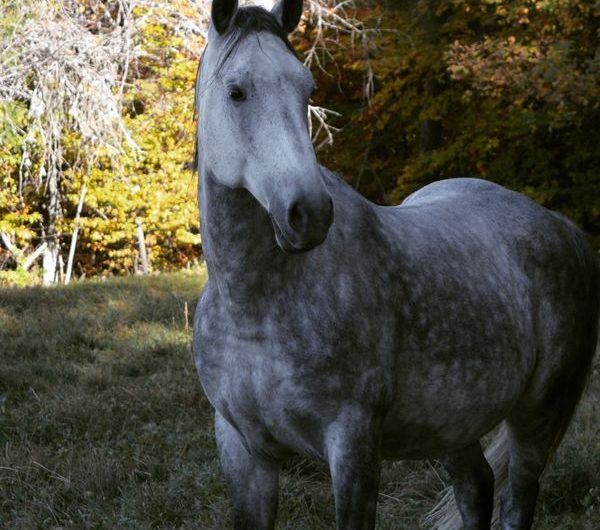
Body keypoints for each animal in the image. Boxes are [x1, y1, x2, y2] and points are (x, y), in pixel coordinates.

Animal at [193, 2, 600, 524]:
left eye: (307, 89)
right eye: (236, 92)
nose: (310, 213)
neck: (253, 306)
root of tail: (560, 226)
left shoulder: (353, 445)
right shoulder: (244, 451)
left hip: (537, 417)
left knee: (516, 502)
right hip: (454, 421)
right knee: (476, 488)